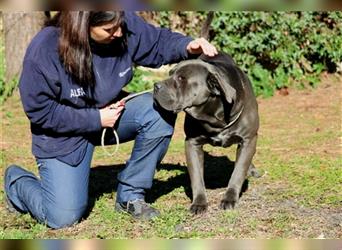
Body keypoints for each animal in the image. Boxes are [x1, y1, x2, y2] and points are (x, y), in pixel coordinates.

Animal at [152, 51, 260, 215]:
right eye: (170, 73)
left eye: (181, 78)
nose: (156, 86)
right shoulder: (192, 143)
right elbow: (196, 176)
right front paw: (199, 202)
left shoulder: (248, 139)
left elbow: (238, 171)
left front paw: (230, 198)